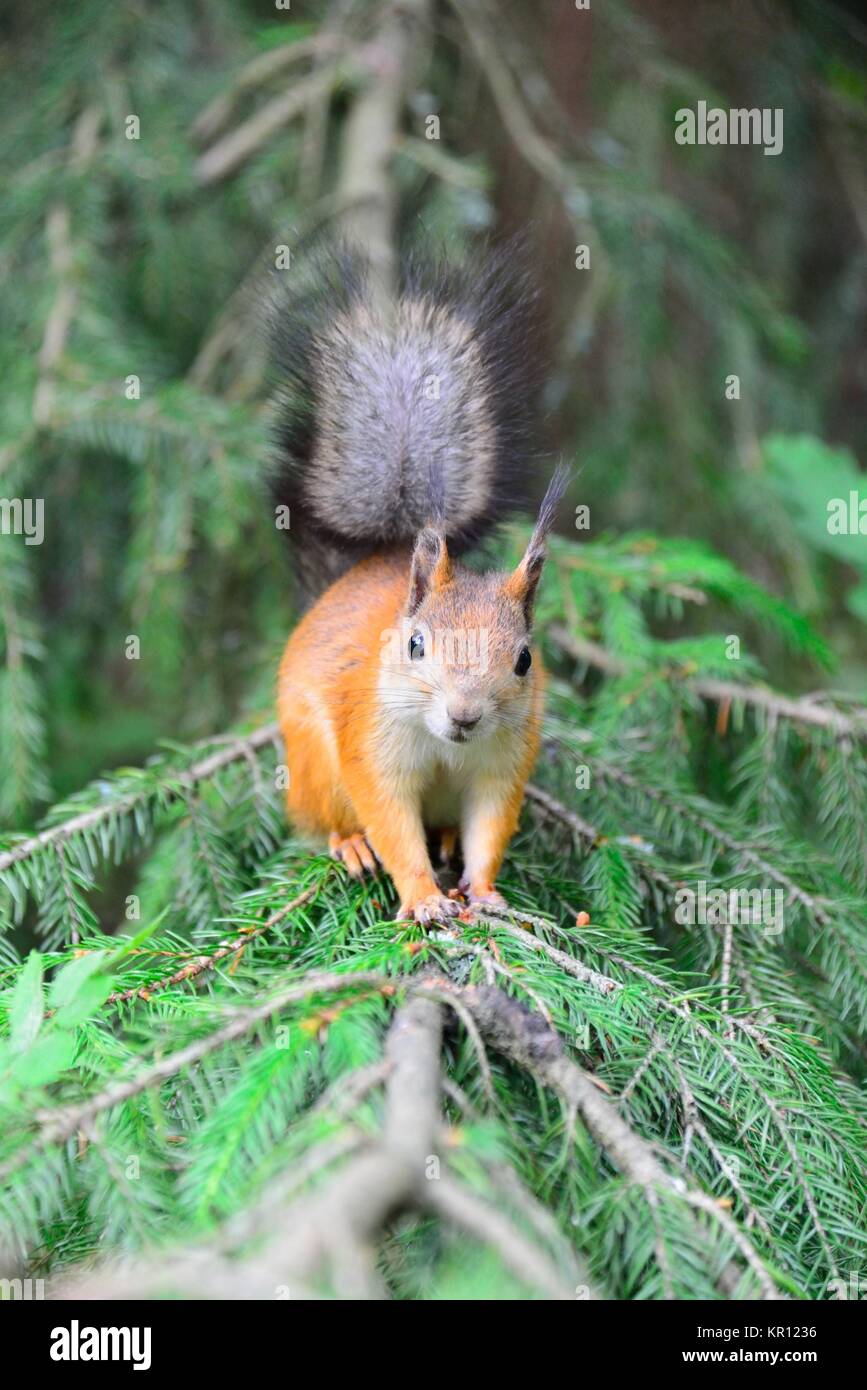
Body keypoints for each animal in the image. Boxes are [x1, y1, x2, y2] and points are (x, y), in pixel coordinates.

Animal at [272, 247, 569, 922]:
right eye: (415, 645)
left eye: (524, 661)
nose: (464, 715)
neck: (446, 746)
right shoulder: (371, 749)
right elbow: (392, 824)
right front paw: (425, 898)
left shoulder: (501, 765)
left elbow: (490, 828)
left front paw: (483, 891)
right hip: (311, 763)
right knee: (323, 818)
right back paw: (350, 843)